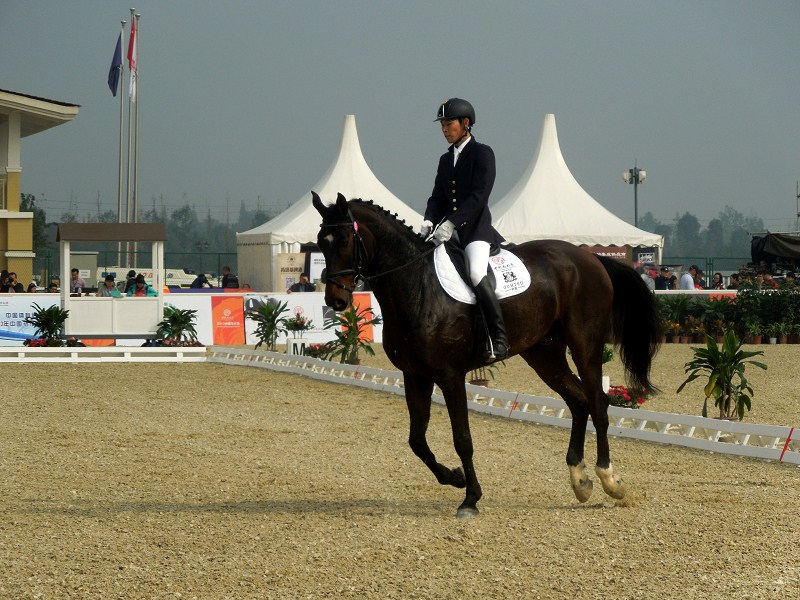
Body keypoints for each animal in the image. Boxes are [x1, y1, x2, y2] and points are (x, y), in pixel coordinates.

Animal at [314, 193, 664, 520]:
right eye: (320, 242)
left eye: (344, 240)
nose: (335, 301)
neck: (417, 286)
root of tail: (591, 258)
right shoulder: (415, 375)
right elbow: (417, 441)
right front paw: (454, 478)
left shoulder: (450, 376)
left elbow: (462, 439)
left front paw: (470, 498)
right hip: (543, 353)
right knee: (578, 402)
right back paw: (580, 480)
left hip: (585, 345)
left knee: (598, 404)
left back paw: (609, 479)